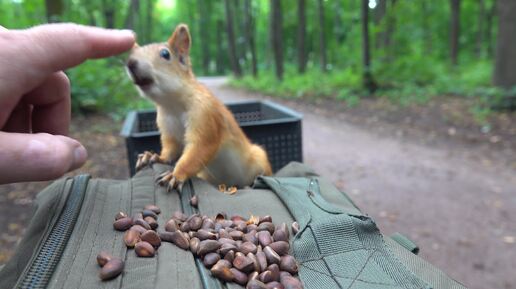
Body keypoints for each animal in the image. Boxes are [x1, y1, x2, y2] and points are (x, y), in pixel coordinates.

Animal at [125, 22, 272, 189]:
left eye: (165, 54)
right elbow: (170, 149)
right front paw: (154, 156)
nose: (130, 63)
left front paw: (175, 175)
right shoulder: (168, 127)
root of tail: (234, 183)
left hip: (259, 158)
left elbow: (199, 149)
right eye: (131, 54)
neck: (172, 105)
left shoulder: (205, 115)